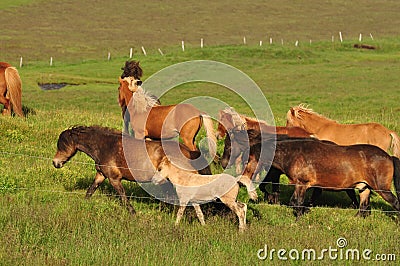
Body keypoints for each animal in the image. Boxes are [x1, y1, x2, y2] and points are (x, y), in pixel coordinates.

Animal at [52, 125, 212, 215]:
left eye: (62, 145)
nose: (55, 163)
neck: (105, 146)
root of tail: (190, 152)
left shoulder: (114, 179)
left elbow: (123, 196)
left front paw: (133, 213)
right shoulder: (101, 175)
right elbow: (90, 190)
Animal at [225, 129, 400, 218]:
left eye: (247, 161)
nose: (240, 181)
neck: (294, 154)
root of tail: (389, 156)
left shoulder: (302, 184)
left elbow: (296, 202)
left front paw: (300, 217)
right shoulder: (301, 185)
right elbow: (297, 202)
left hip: (382, 189)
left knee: (394, 203)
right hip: (364, 187)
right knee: (364, 208)